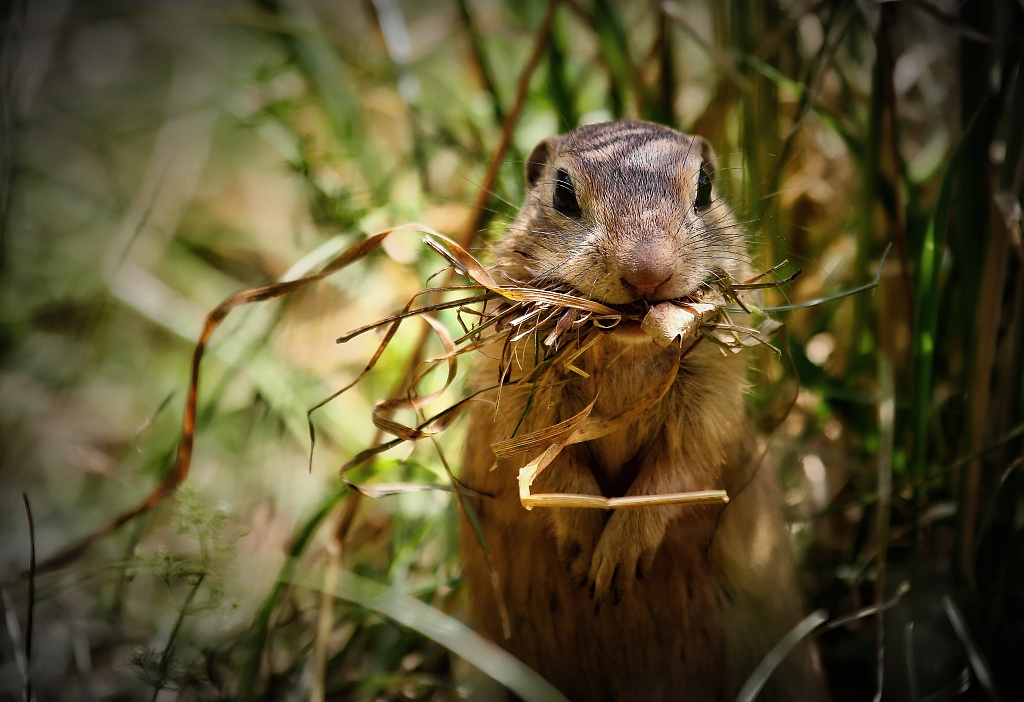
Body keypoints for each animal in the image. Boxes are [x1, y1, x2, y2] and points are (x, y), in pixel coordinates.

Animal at [460, 122, 827, 702]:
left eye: (704, 188)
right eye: (562, 192)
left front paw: (615, 563)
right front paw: (588, 550)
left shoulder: (711, 403)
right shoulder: (520, 399)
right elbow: (548, 469)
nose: (648, 272)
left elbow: (679, 471)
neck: (625, 352)